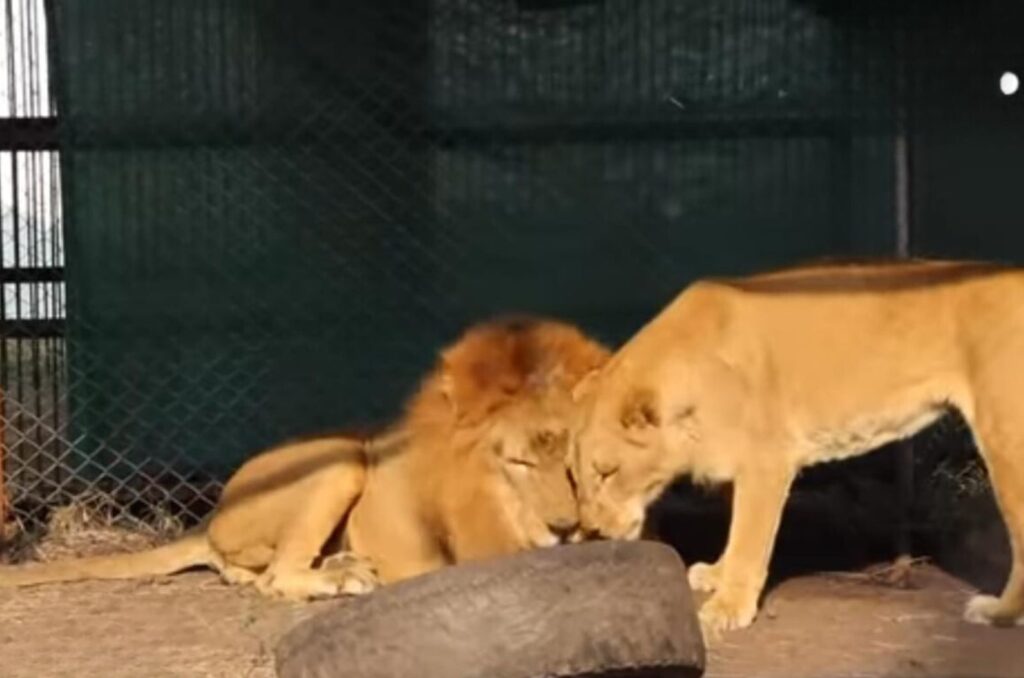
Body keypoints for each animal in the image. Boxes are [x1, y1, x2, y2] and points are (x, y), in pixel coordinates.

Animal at [0, 317, 606, 602]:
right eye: (518, 464)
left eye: (571, 461)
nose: (565, 526)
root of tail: (213, 514)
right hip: (340, 457)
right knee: (274, 576)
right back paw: (342, 578)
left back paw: (343, 563)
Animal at [569, 258, 1024, 639]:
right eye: (575, 478)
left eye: (607, 472)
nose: (591, 532)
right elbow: (735, 532)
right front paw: (716, 575)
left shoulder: (767, 461)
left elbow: (748, 540)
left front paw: (729, 606)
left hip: (1005, 439)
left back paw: (999, 613)